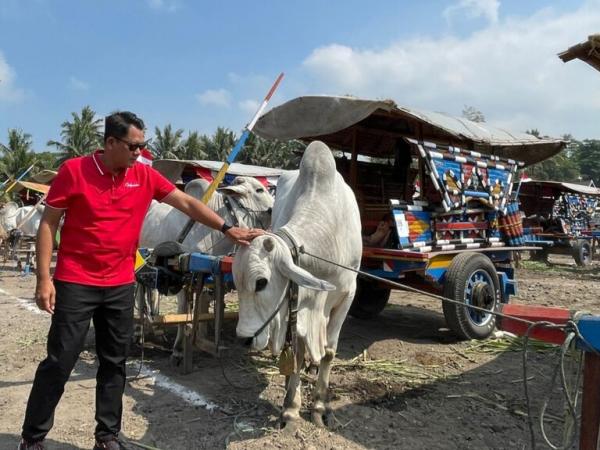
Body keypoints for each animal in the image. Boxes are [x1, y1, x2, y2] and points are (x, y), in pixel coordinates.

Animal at [231, 142, 360, 428]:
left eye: (261, 282)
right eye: (237, 283)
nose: (244, 339)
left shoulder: (348, 296)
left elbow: (329, 352)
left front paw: (320, 405)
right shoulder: (298, 303)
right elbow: (297, 356)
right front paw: (291, 407)